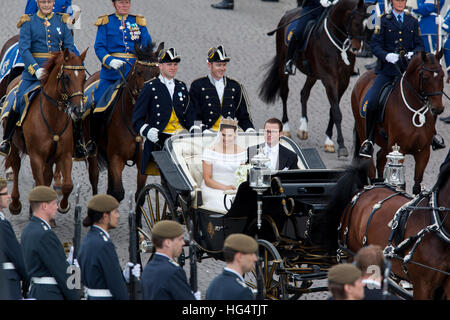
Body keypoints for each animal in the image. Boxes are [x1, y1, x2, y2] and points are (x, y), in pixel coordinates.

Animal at [4, 48, 88, 215]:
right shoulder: (36, 156)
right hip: (14, 146)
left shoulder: (65, 155)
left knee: (47, 175)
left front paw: (63, 206)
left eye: (84, 78)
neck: (53, 117)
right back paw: (15, 203)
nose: (79, 110)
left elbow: (67, 185)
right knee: (16, 166)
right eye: (66, 77)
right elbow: (41, 184)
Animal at [83, 42, 163, 202]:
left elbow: (140, 195)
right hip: (92, 149)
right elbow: (118, 193)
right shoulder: (116, 158)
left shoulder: (142, 160)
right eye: (139, 72)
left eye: (157, 73)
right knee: (94, 177)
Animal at [260, 0, 370, 158]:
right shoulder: (330, 79)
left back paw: (303, 129)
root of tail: (287, 14)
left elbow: (332, 110)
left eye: (367, 26)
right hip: (282, 66)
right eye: (355, 22)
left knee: (304, 93)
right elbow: (336, 111)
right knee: (284, 93)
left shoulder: (343, 81)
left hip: (312, 74)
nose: (357, 49)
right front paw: (340, 145)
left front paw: (329, 140)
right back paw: (286, 128)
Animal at [352, 51, 446, 194]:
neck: (413, 112)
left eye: (442, 76)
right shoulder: (399, 149)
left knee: (380, 158)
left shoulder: (423, 152)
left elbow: (417, 185)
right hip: (364, 133)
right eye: (425, 77)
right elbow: (401, 185)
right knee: (371, 166)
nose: (438, 108)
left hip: (387, 145)